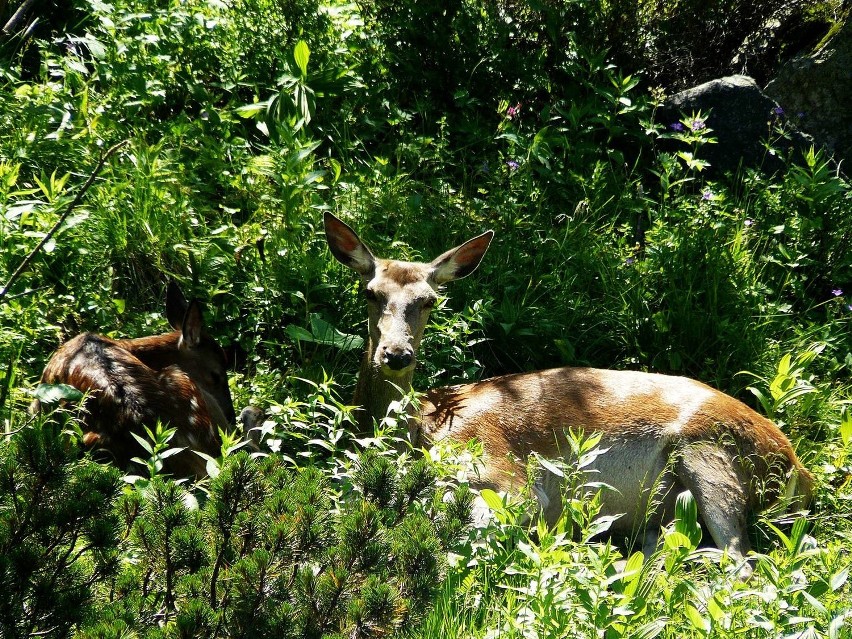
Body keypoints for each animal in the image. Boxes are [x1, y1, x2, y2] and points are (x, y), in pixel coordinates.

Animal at [324, 212, 812, 576]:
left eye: (430, 300)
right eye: (370, 292)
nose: (396, 353)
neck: (422, 428)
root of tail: (799, 471)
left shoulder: (505, 474)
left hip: (710, 457)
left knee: (741, 563)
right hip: (669, 508)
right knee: (668, 550)